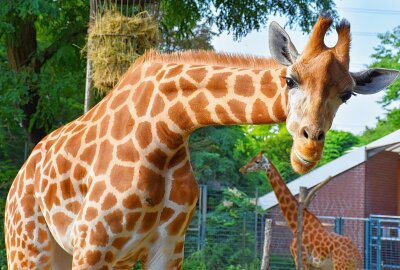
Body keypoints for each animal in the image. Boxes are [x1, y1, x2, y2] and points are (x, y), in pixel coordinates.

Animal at [3, 15, 396, 270]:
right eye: (290, 79)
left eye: (347, 94)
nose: (308, 148)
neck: (164, 132)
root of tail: (18, 181)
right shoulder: (91, 244)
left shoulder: (167, 247)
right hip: (29, 248)